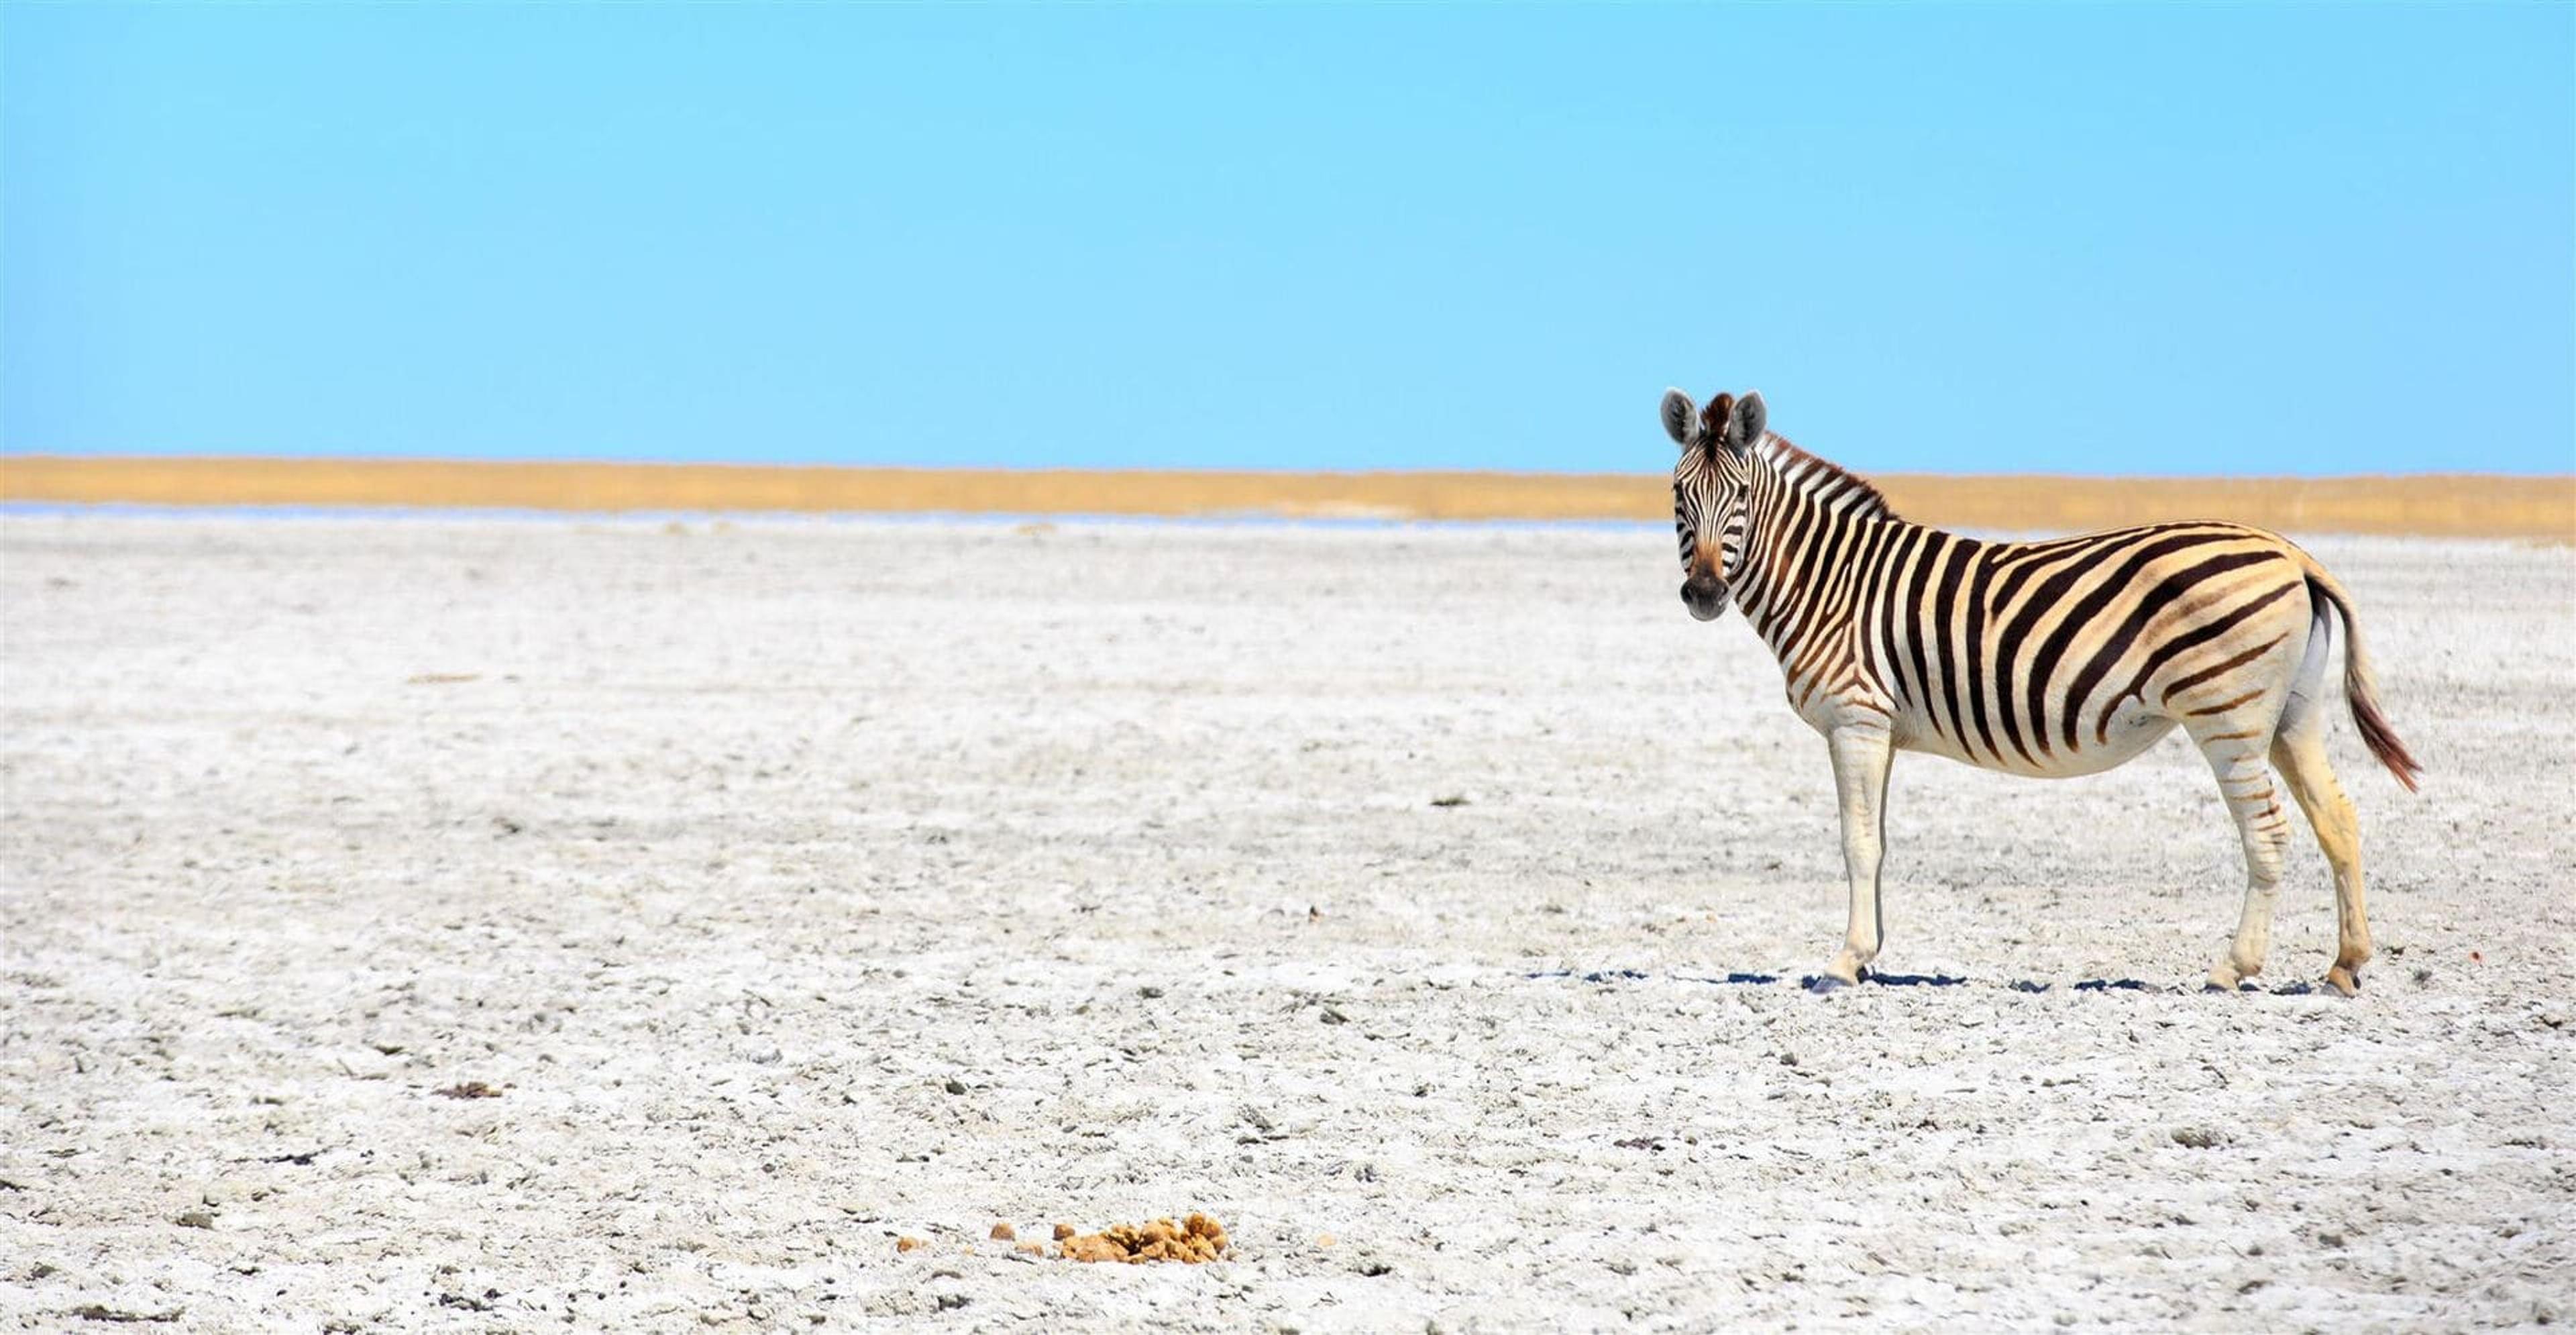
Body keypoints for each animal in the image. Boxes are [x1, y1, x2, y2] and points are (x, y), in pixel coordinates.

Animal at [1662, 386, 2420, 995]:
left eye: (1740, 499)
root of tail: (2293, 553)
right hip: (2292, 714)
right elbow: (1879, 841)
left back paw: (2233, 969)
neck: (1829, 579)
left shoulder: (1856, 721)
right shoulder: (1882, 731)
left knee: (2268, 830)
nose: (1703, 595)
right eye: (1678, 497)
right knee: (2337, 818)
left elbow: (1858, 843)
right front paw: (1871, 955)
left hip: (2225, 714)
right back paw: (2345, 966)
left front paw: (1844, 963)